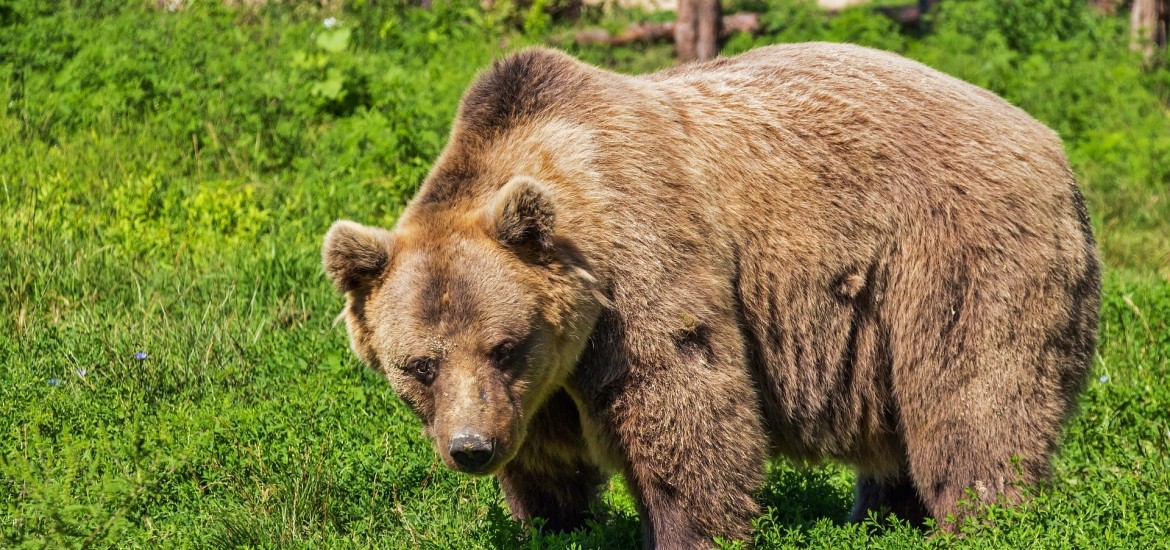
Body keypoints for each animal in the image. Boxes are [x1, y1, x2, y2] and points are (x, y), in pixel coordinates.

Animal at [320, 41, 1095, 545]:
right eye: (419, 365)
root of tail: (1050, 143)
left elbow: (683, 403)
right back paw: (881, 512)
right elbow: (547, 457)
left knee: (975, 398)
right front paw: (551, 518)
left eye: (504, 346)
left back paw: (984, 516)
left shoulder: (641, 264)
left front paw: (687, 529)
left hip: (955, 254)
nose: (472, 448)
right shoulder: (544, 377)